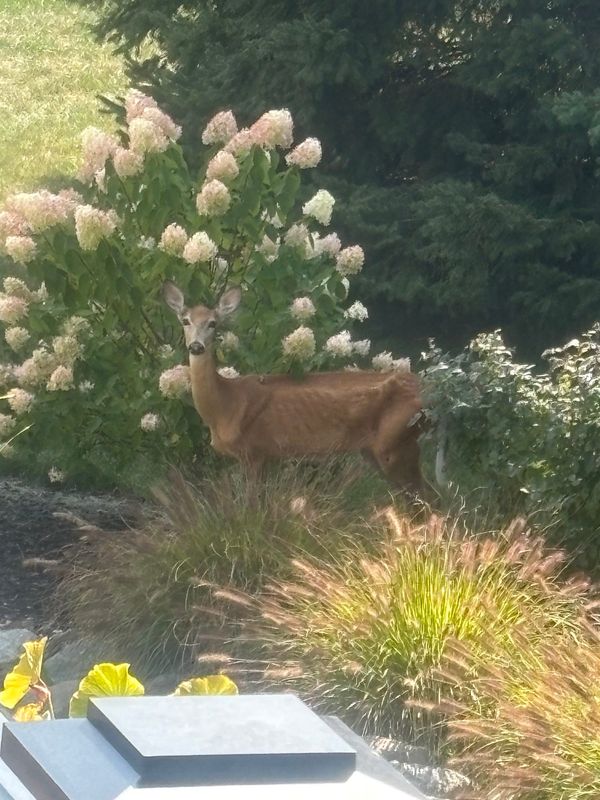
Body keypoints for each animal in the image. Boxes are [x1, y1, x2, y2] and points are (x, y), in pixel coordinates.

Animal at [163, 282, 425, 497]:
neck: (225, 406)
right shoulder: (265, 456)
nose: (196, 346)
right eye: (185, 321)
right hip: (373, 449)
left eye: (213, 323)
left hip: (397, 441)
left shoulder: (253, 451)